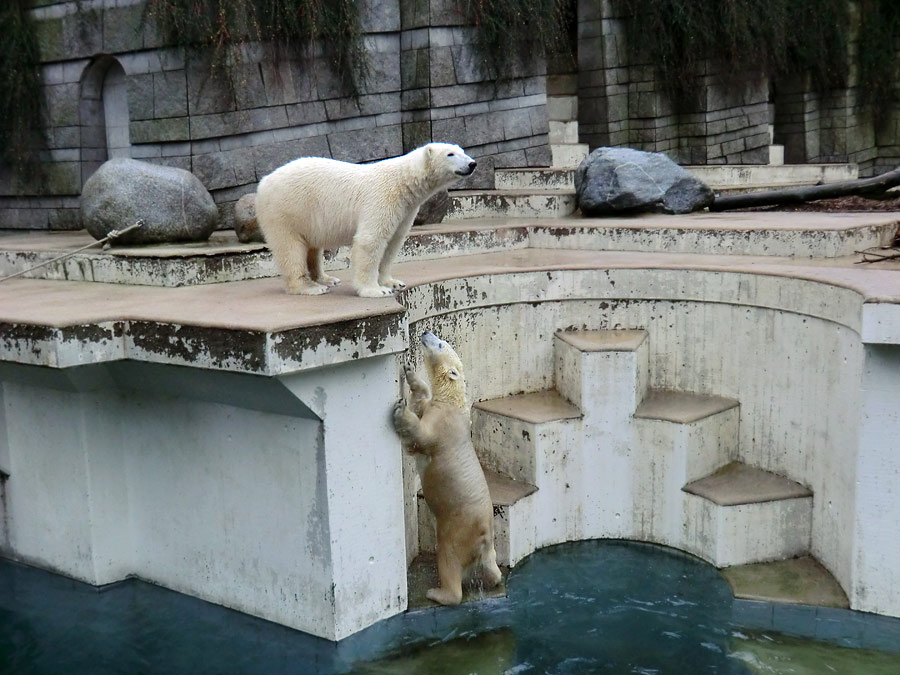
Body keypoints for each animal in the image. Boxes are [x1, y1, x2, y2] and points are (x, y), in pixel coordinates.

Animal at [255, 144, 474, 298]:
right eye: (450, 154)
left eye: (462, 151)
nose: (472, 163)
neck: (402, 181)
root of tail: (264, 182)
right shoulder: (382, 199)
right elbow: (371, 240)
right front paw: (375, 290)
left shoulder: (405, 210)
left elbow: (393, 243)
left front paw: (392, 283)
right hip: (285, 210)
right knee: (290, 248)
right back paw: (309, 287)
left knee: (312, 247)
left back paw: (326, 279)